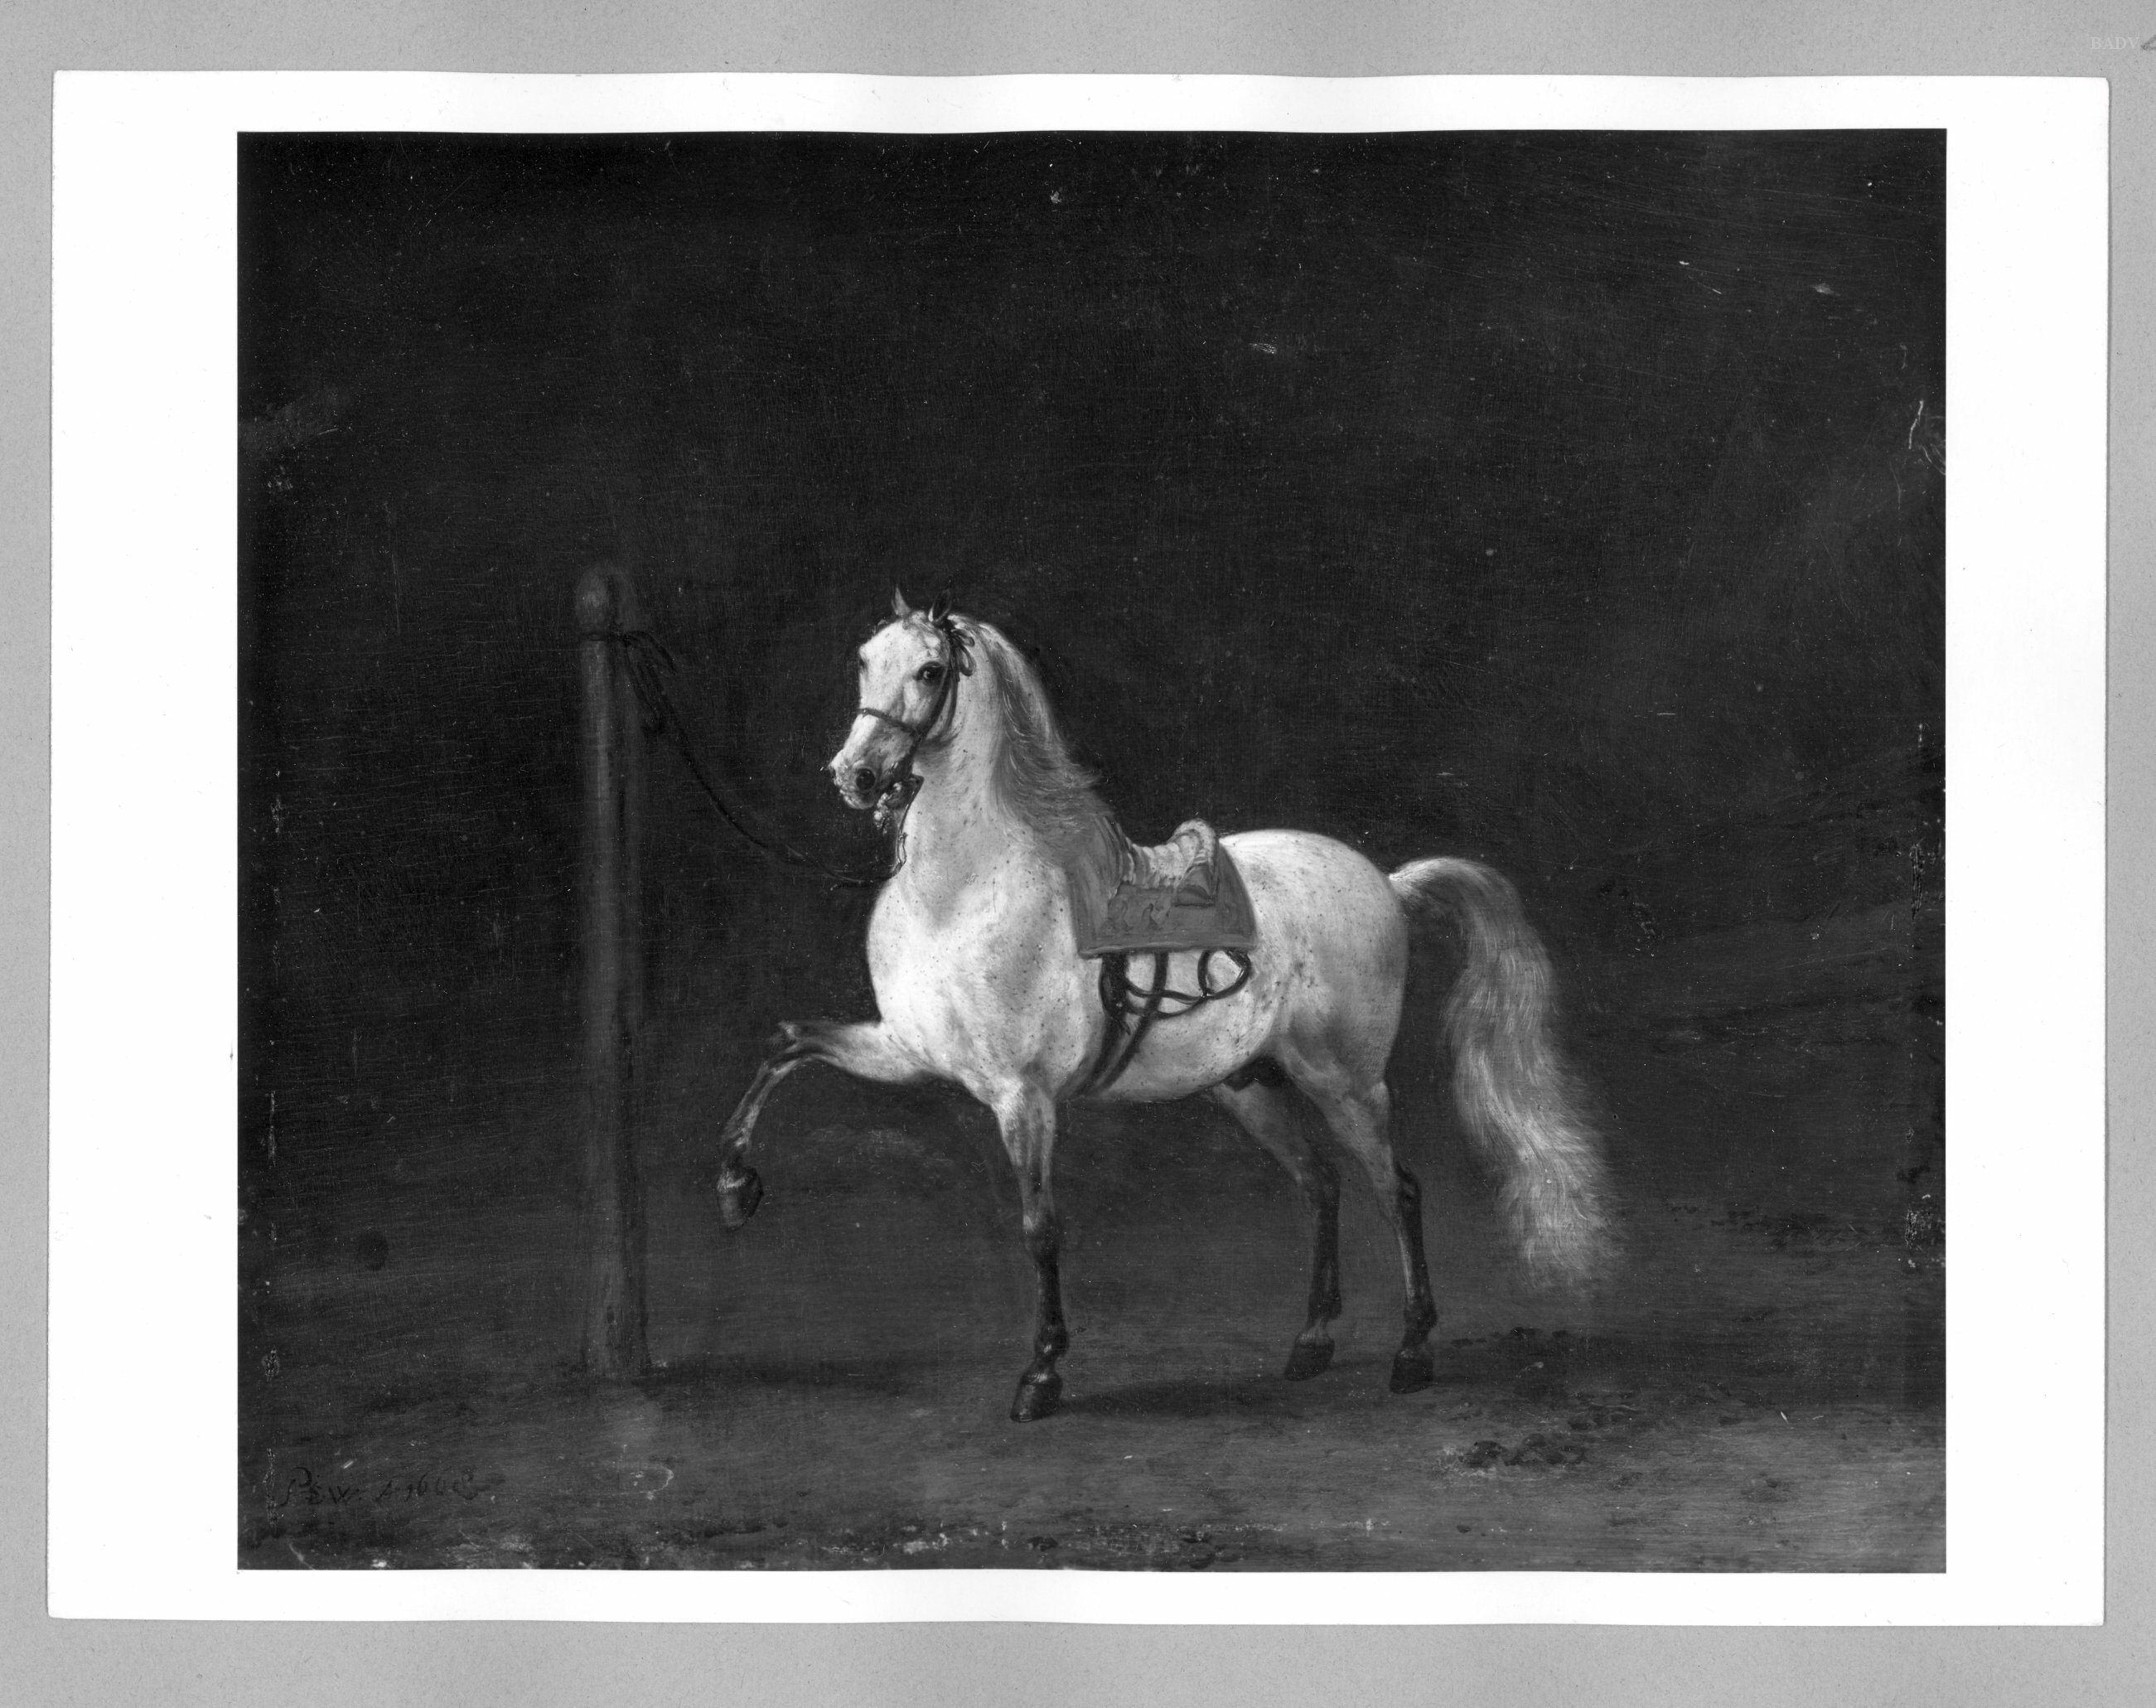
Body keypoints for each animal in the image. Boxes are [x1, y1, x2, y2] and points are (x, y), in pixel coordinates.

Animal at [713, 591, 1612, 1422]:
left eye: (931, 672)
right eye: (865, 661)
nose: (854, 775)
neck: (963, 888)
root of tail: (1385, 882)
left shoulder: (1022, 1096)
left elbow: (1040, 1226)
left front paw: (1042, 1373)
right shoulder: (905, 1050)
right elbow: (786, 1045)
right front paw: (734, 1185)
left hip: (1346, 1083)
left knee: (1398, 1189)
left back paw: (1413, 1351)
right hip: (1249, 1085)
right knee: (1321, 1182)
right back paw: (1312, 1341)